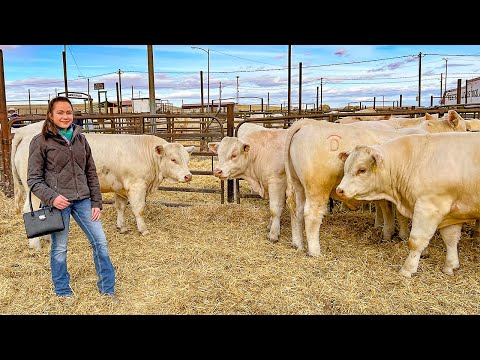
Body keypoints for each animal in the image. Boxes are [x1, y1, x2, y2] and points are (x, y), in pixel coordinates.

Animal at [12, 122, 194, 249]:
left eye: (187, 159)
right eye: (173, 159)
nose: (188, 176)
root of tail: (24, 132)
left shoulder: (120, 187)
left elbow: (121, 207)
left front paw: (122, 227)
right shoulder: (136, 186)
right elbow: (139, 209)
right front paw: (143, 229)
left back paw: (47, 238)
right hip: (33, 190)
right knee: (29, 210)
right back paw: (35, 245)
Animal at [336, 134, 480, 278]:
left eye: (362, 170)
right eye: (345, 168)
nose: (339, 190)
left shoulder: (429, 207)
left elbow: (416, 241)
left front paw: (407, 269)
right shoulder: (452, 212)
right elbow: (451, 239)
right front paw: (450, 266)